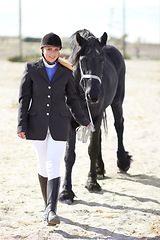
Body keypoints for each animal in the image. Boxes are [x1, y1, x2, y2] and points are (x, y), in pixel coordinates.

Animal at [58, 29, 131, 203]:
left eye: (102, 60)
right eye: (82, 60)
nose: (93, 95)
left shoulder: (96, 118)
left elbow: (92, 149)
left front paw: (92, 183)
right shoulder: (71, 123)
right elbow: (69, 155)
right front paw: (66, 192)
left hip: (117, 102)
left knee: (119, 126)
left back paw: (122, 161)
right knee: (99, 137)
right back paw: (99, 168)